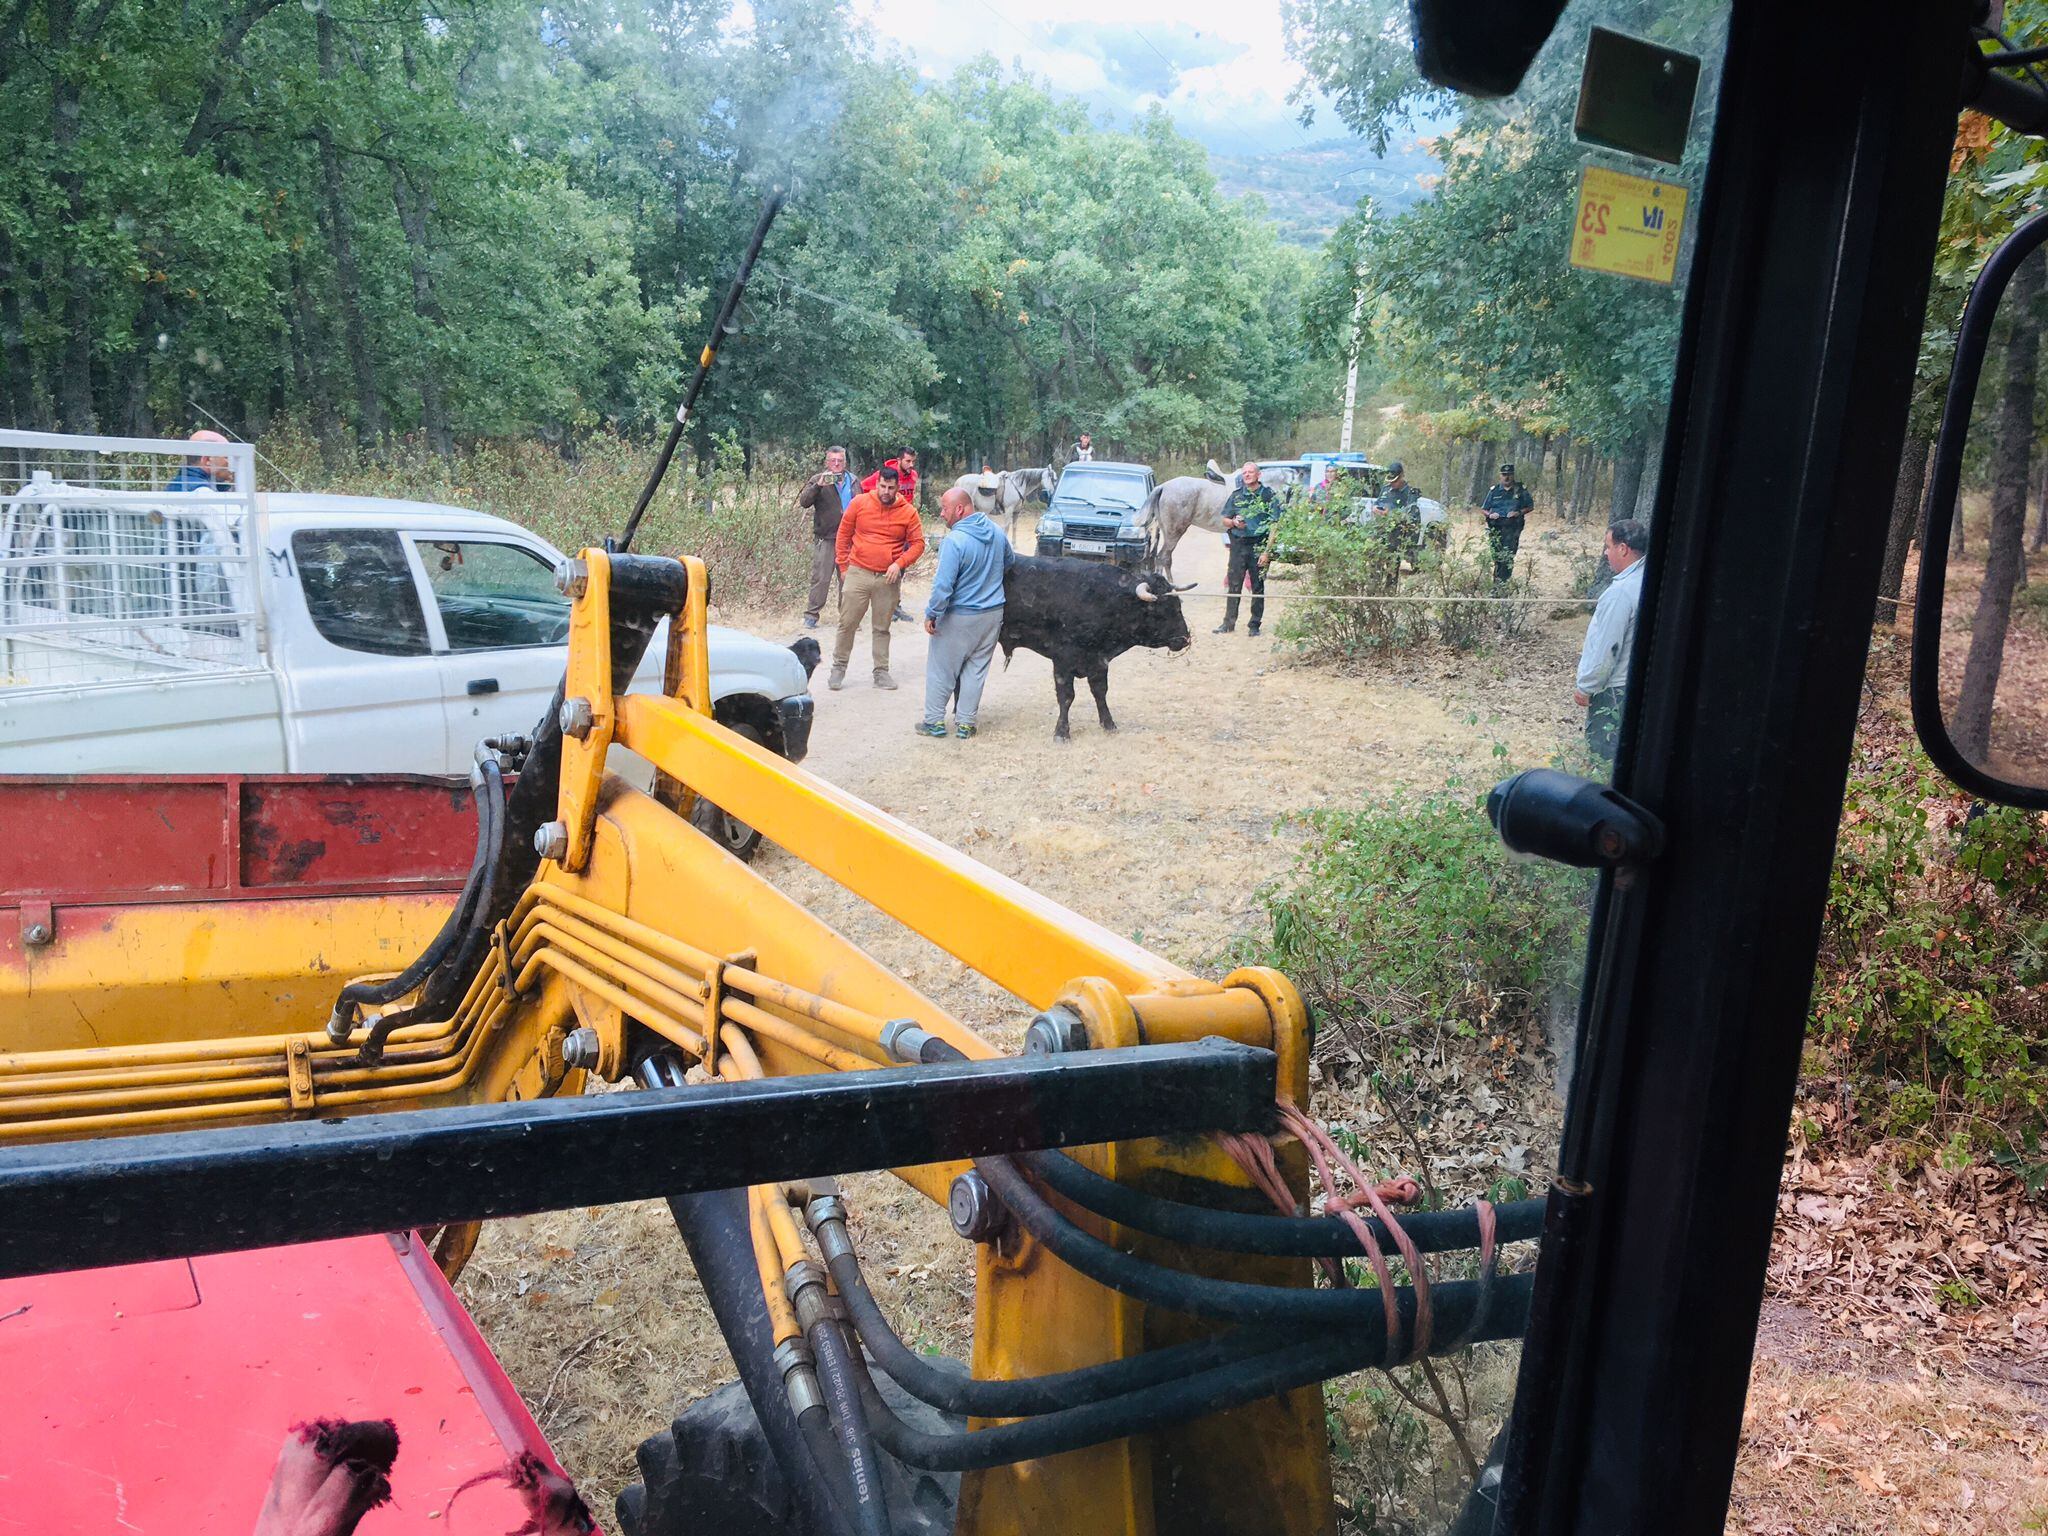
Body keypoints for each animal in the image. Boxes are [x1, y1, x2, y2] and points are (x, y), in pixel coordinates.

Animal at [999, 561, 1196, 741]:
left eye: (1178, 604)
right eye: (1158, 610)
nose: (1184, 638)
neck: (1102, 599)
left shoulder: (1099, 661)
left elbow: (1100, 691)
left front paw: (1109, 724)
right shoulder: (1063, 660)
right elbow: (1066, 696)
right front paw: (1062, 732)